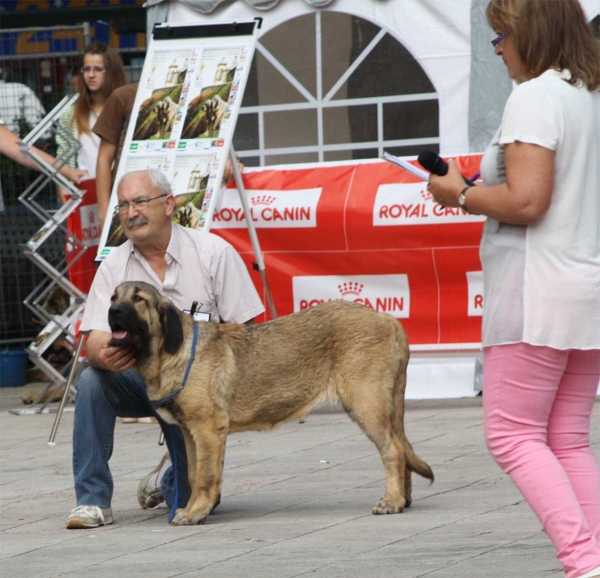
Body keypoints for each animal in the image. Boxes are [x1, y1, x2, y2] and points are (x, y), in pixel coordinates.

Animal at [108, 282, 434, 524]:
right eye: (113, 296)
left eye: (138, 299)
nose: (113, 311)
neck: (171, 351)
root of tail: (389, 320)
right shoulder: (190, 433)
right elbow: (193, 473)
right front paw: (192, 508)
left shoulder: (208, 430)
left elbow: (206, 475)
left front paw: (197, 512)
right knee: (403, 448)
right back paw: (403, 499)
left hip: (366, 405)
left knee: (393, 451)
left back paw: (391, 502)